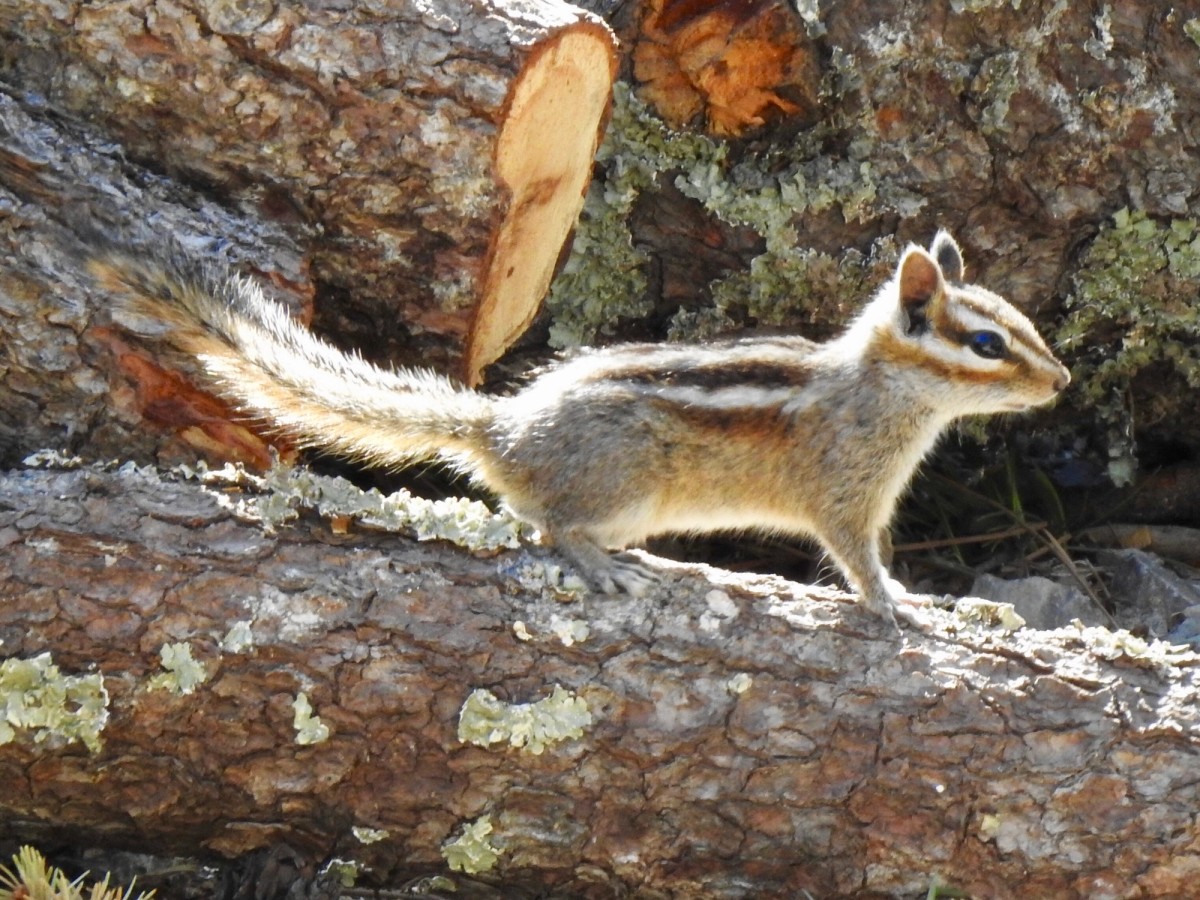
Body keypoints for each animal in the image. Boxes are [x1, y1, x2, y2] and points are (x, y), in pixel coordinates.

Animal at [85, 230, 1069, 629]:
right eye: (986, 344)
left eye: (1020, 323)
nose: (1060, 382)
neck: (885, 391)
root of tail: (504, 430)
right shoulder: (845, 494)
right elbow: (858, 561)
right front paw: (902, 605)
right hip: (622, 482)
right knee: (550, 525)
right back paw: (601, 566)